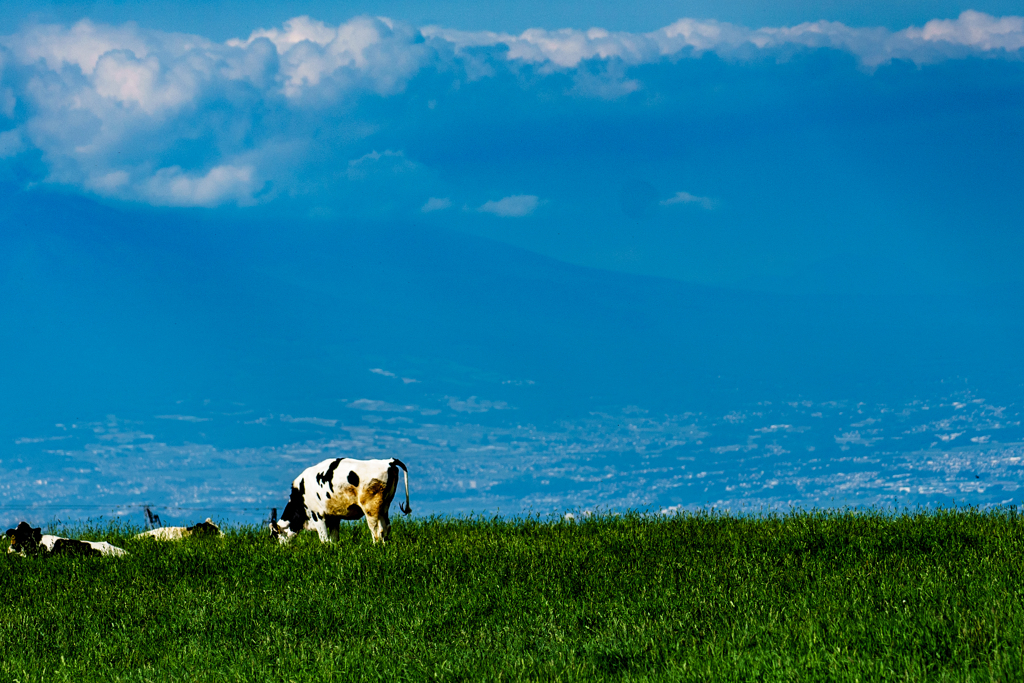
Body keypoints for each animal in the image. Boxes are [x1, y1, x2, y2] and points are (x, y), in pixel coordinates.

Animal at [272, 458, 415, 544]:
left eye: (277, 535)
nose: (281, 549)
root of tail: (388, 461)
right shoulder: (334, 517)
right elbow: (334, 539)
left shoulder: (317, 514)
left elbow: (324, 539)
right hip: (385, 505)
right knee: (386, 528)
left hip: (371, 508)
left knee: (376, 530)